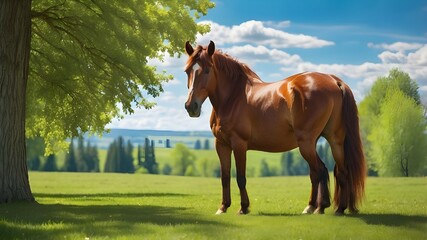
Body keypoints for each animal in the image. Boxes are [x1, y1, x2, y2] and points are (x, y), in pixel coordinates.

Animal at [184, 41, 368, 216]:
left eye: (207, 70)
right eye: (187, 71)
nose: (191, 106)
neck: (233, 97)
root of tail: (333, 80)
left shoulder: (239, 144)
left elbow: (241, 178)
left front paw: (243, 208)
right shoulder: (221, 144)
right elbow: (225, 177)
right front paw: (223, 207)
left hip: (306, 143)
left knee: (320, 170)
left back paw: (319, 207)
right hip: (334, 140)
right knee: (337, 172)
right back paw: (330, 208)